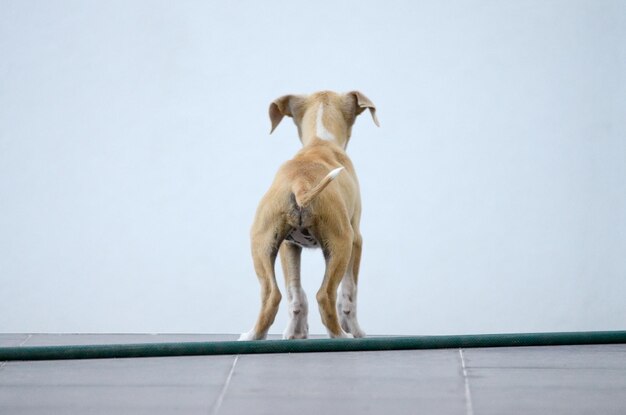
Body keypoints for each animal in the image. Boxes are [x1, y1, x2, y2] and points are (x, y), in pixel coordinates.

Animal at [238, 91, 376, 342]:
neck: (320, 141)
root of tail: (300, 183)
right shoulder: (357, 240)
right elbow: (349, 292)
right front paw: (357, 330)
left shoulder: (289, 245)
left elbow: (296, 294)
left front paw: (295, 333)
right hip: (341, 244)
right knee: (325, 294)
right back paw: (341, 335)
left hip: (262, 243)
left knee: (272, 294)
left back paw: (254, 335)